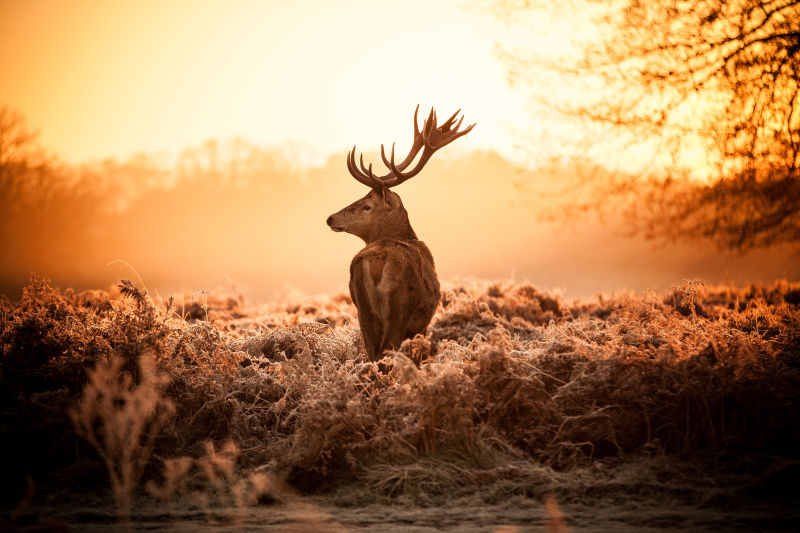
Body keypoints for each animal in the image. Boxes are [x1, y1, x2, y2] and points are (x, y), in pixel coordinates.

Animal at [324, 105, 476, 362]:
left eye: (366, 205)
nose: (330, 218)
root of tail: (377, 262)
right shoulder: (422, 324)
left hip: (363, 311)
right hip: (400, 310)